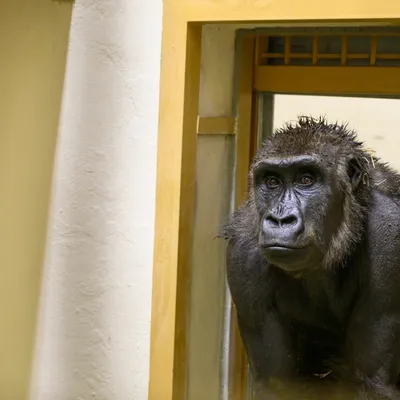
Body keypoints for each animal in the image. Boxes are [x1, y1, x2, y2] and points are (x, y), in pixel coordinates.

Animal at [220, 116, 400, 400]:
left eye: (306, 179)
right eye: (272, 182)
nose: (280, 219)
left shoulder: (389, 231)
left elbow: (372, 383)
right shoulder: (243, 255)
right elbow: (277, 385)